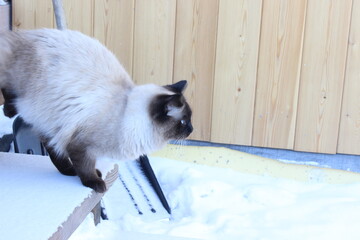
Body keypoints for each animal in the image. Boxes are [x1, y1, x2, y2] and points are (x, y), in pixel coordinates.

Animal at [0, 28, 194, 193]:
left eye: (189, 120)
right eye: (184, 121)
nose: (192, 130)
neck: (126, 113)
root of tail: (25, 34)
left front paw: (93, 174)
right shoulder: (81, 145)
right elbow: (86, 167)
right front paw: (95, 183)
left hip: (47, 120)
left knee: (53, 150)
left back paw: (67, 170)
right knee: (8, 90)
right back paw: (9, 110)